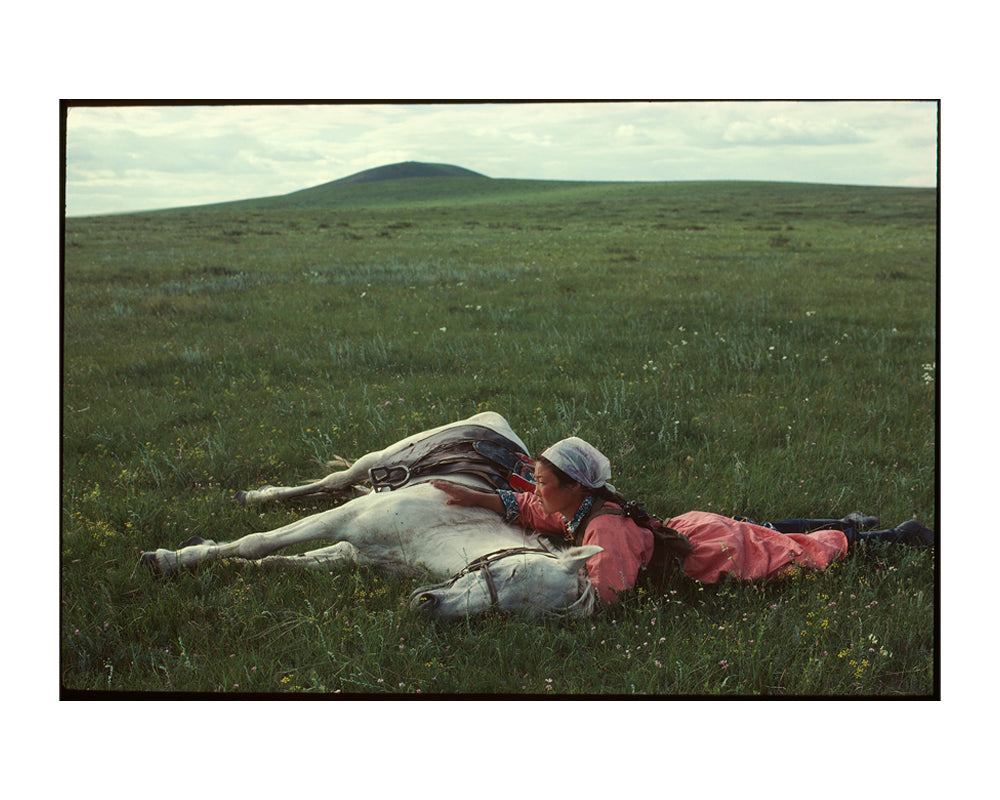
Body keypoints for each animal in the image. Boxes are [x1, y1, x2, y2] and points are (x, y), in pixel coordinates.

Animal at [140, 412, 601, 618]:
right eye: (511, 573)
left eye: (509, 612)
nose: (429, 605)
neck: (442, 528)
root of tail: (497, 424)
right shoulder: (342, 520)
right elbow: (258, 543)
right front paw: (167, 559)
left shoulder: (352, 552)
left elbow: (280, 561)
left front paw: (211, 557)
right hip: (377, 458)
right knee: (336, 479)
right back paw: (255, 495)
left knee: (338, 486)